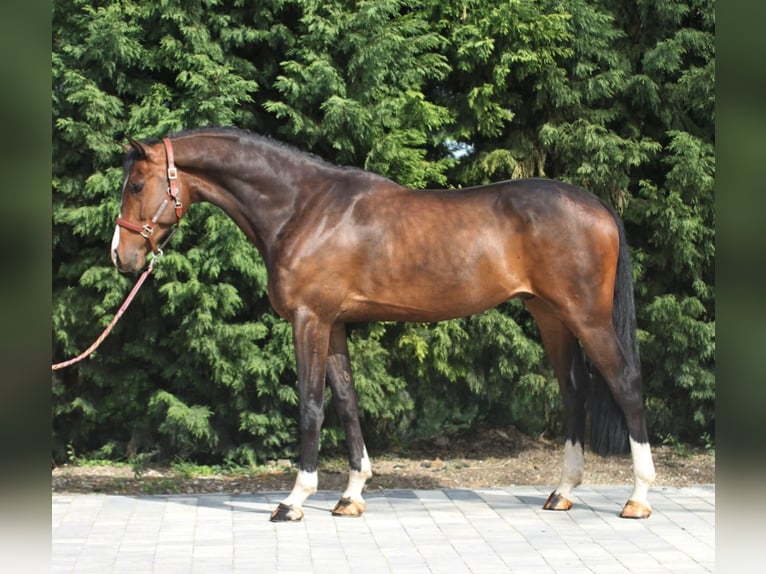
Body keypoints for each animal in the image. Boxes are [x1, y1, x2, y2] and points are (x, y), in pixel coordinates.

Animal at [111, 128, 656, 524]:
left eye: (136, 185)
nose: (122, 256)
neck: (304, 208)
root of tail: (599, 206)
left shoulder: (310, 320)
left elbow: (311, 408)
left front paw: (294, 501)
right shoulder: (333, 326)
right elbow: (348, 403)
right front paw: (350, 496)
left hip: (586, 317)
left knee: (627, 383)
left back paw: (638, 498)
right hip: (550, 316)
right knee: (574, 390)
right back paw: (562, 492)